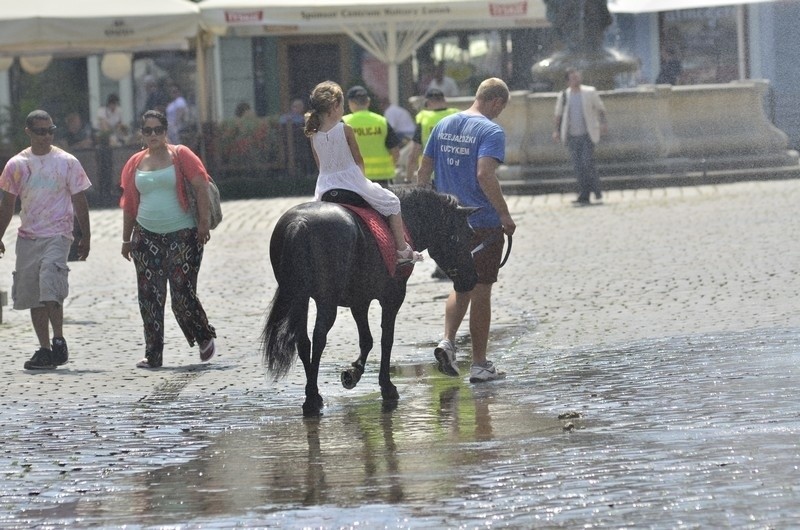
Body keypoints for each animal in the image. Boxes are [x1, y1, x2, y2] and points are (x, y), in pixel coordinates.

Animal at [262, 188, 478, 414]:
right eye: (470, 234)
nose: (472, 278)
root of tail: (300, 223)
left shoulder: (360, 301)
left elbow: (367, 339)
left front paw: (353, 372)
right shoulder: (392, 298)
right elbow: (386, 339)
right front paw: (387, 386)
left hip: (300, 298)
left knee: (304, 340)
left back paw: (314, 395)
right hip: (326, 300)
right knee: (319, 337)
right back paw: (312, 398)